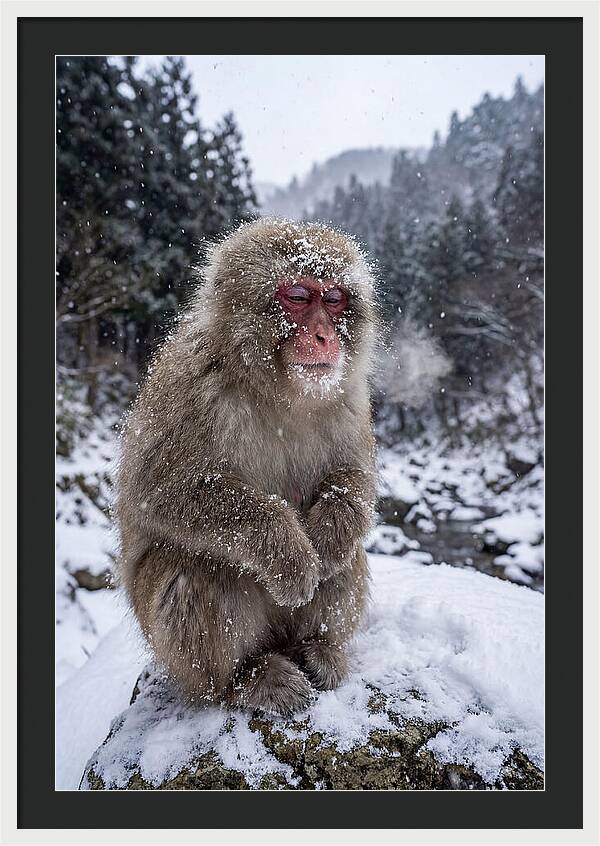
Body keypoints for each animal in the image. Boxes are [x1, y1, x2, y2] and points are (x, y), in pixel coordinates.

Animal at [115, 218, 379, 716]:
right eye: (298, 296)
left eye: (334, 299)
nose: (324, 335)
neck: (277, 391)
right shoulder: (188, 385)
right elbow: (160, 492)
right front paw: (289, 553)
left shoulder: (350, 398)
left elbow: (354, 478)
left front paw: (329, 535)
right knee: (193, 568)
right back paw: (244, 679)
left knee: (348, 557)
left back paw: (318, 648)